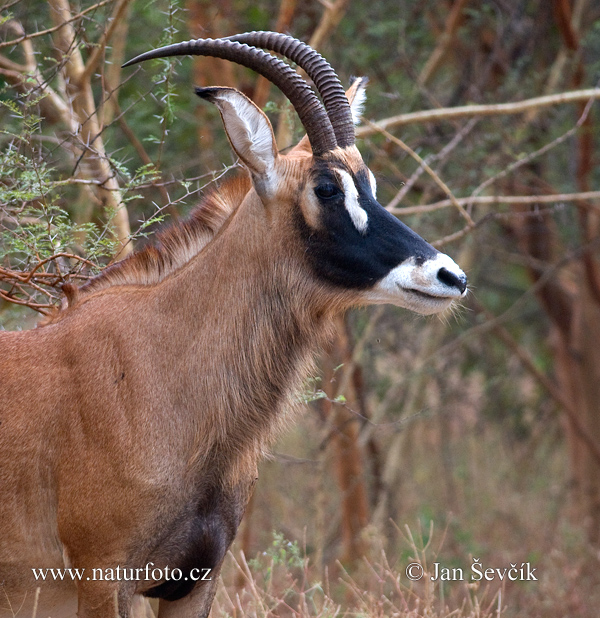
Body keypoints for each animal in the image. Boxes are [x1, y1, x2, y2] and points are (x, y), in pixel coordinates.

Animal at [0, 32, 466, 616]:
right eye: (327, 188)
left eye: (369, 184)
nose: (450, 276)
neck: (160, 366)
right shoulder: (103, 578)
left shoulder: (197, 580)